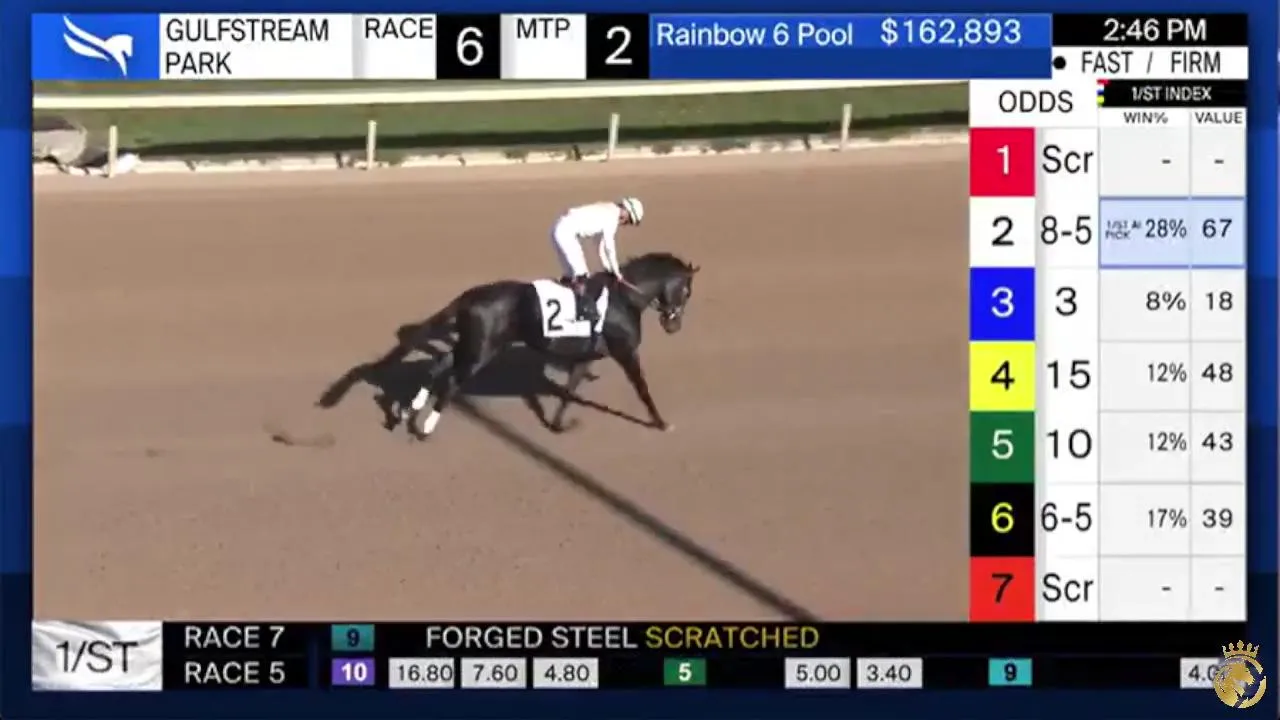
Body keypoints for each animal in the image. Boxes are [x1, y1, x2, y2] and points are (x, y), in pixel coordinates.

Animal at [365, 252, 700, 440]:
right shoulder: (625, 352)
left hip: (473, 344)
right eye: (687, 291)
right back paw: (425, 427)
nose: (674, 325)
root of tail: (469, 296)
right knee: (451, 381)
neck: (624, 299)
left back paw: (407, 411)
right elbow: (643, 389)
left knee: (439, 364)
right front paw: (661, 423)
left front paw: (558, 425)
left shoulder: (586, 356)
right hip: (482, 350)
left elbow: (569, 391)